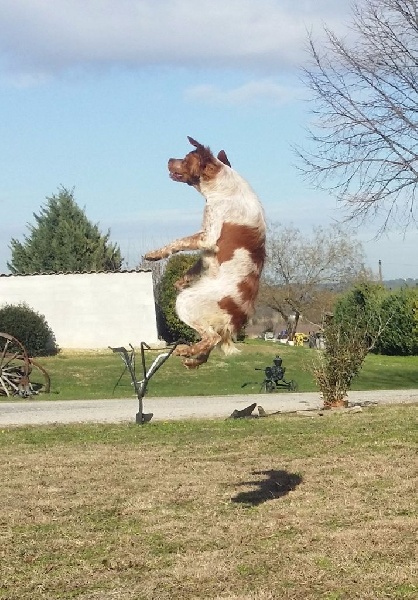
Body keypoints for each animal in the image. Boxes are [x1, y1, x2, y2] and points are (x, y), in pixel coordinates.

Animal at [145, 138, 266, 368]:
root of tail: (237, 316)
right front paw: (181, 280)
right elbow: (197, 265)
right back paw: (192, 360)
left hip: (185, 302)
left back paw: (185, 350)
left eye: (185, 158)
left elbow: (178, 242)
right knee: (209, 345)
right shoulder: (206, 248)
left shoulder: (208, 236)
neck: (224, 187)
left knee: (212, 338)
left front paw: (155, 254)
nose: (169, 159)